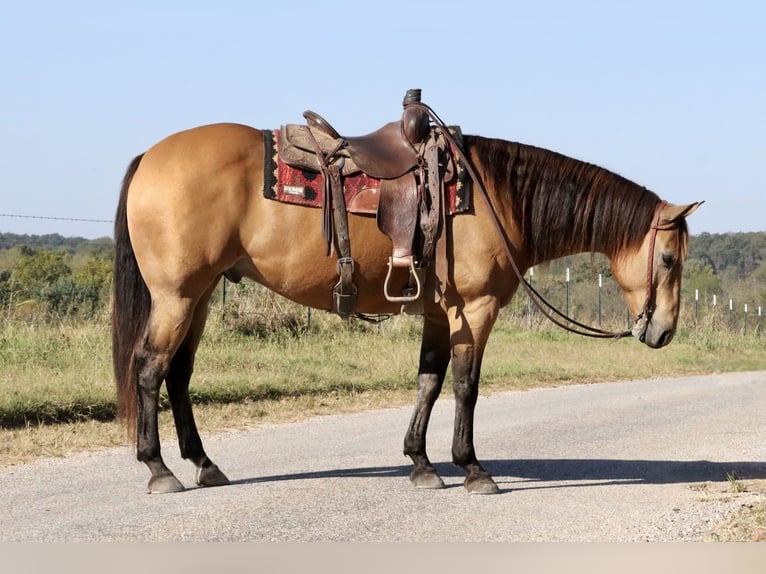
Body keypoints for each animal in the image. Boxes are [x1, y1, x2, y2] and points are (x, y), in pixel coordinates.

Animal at [111, 90, 704, 496]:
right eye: (669, 259)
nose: (662, 331)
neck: (494, 196)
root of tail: (149, 157)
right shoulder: (475, 309)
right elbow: (465, 386)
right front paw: (472, 468)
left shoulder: (441, 313)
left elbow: (428, 382)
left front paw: (420, 463)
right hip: (177, 296)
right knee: (150, 367)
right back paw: (159, 469)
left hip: (201, 295)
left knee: (179, 374)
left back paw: (204, 465)